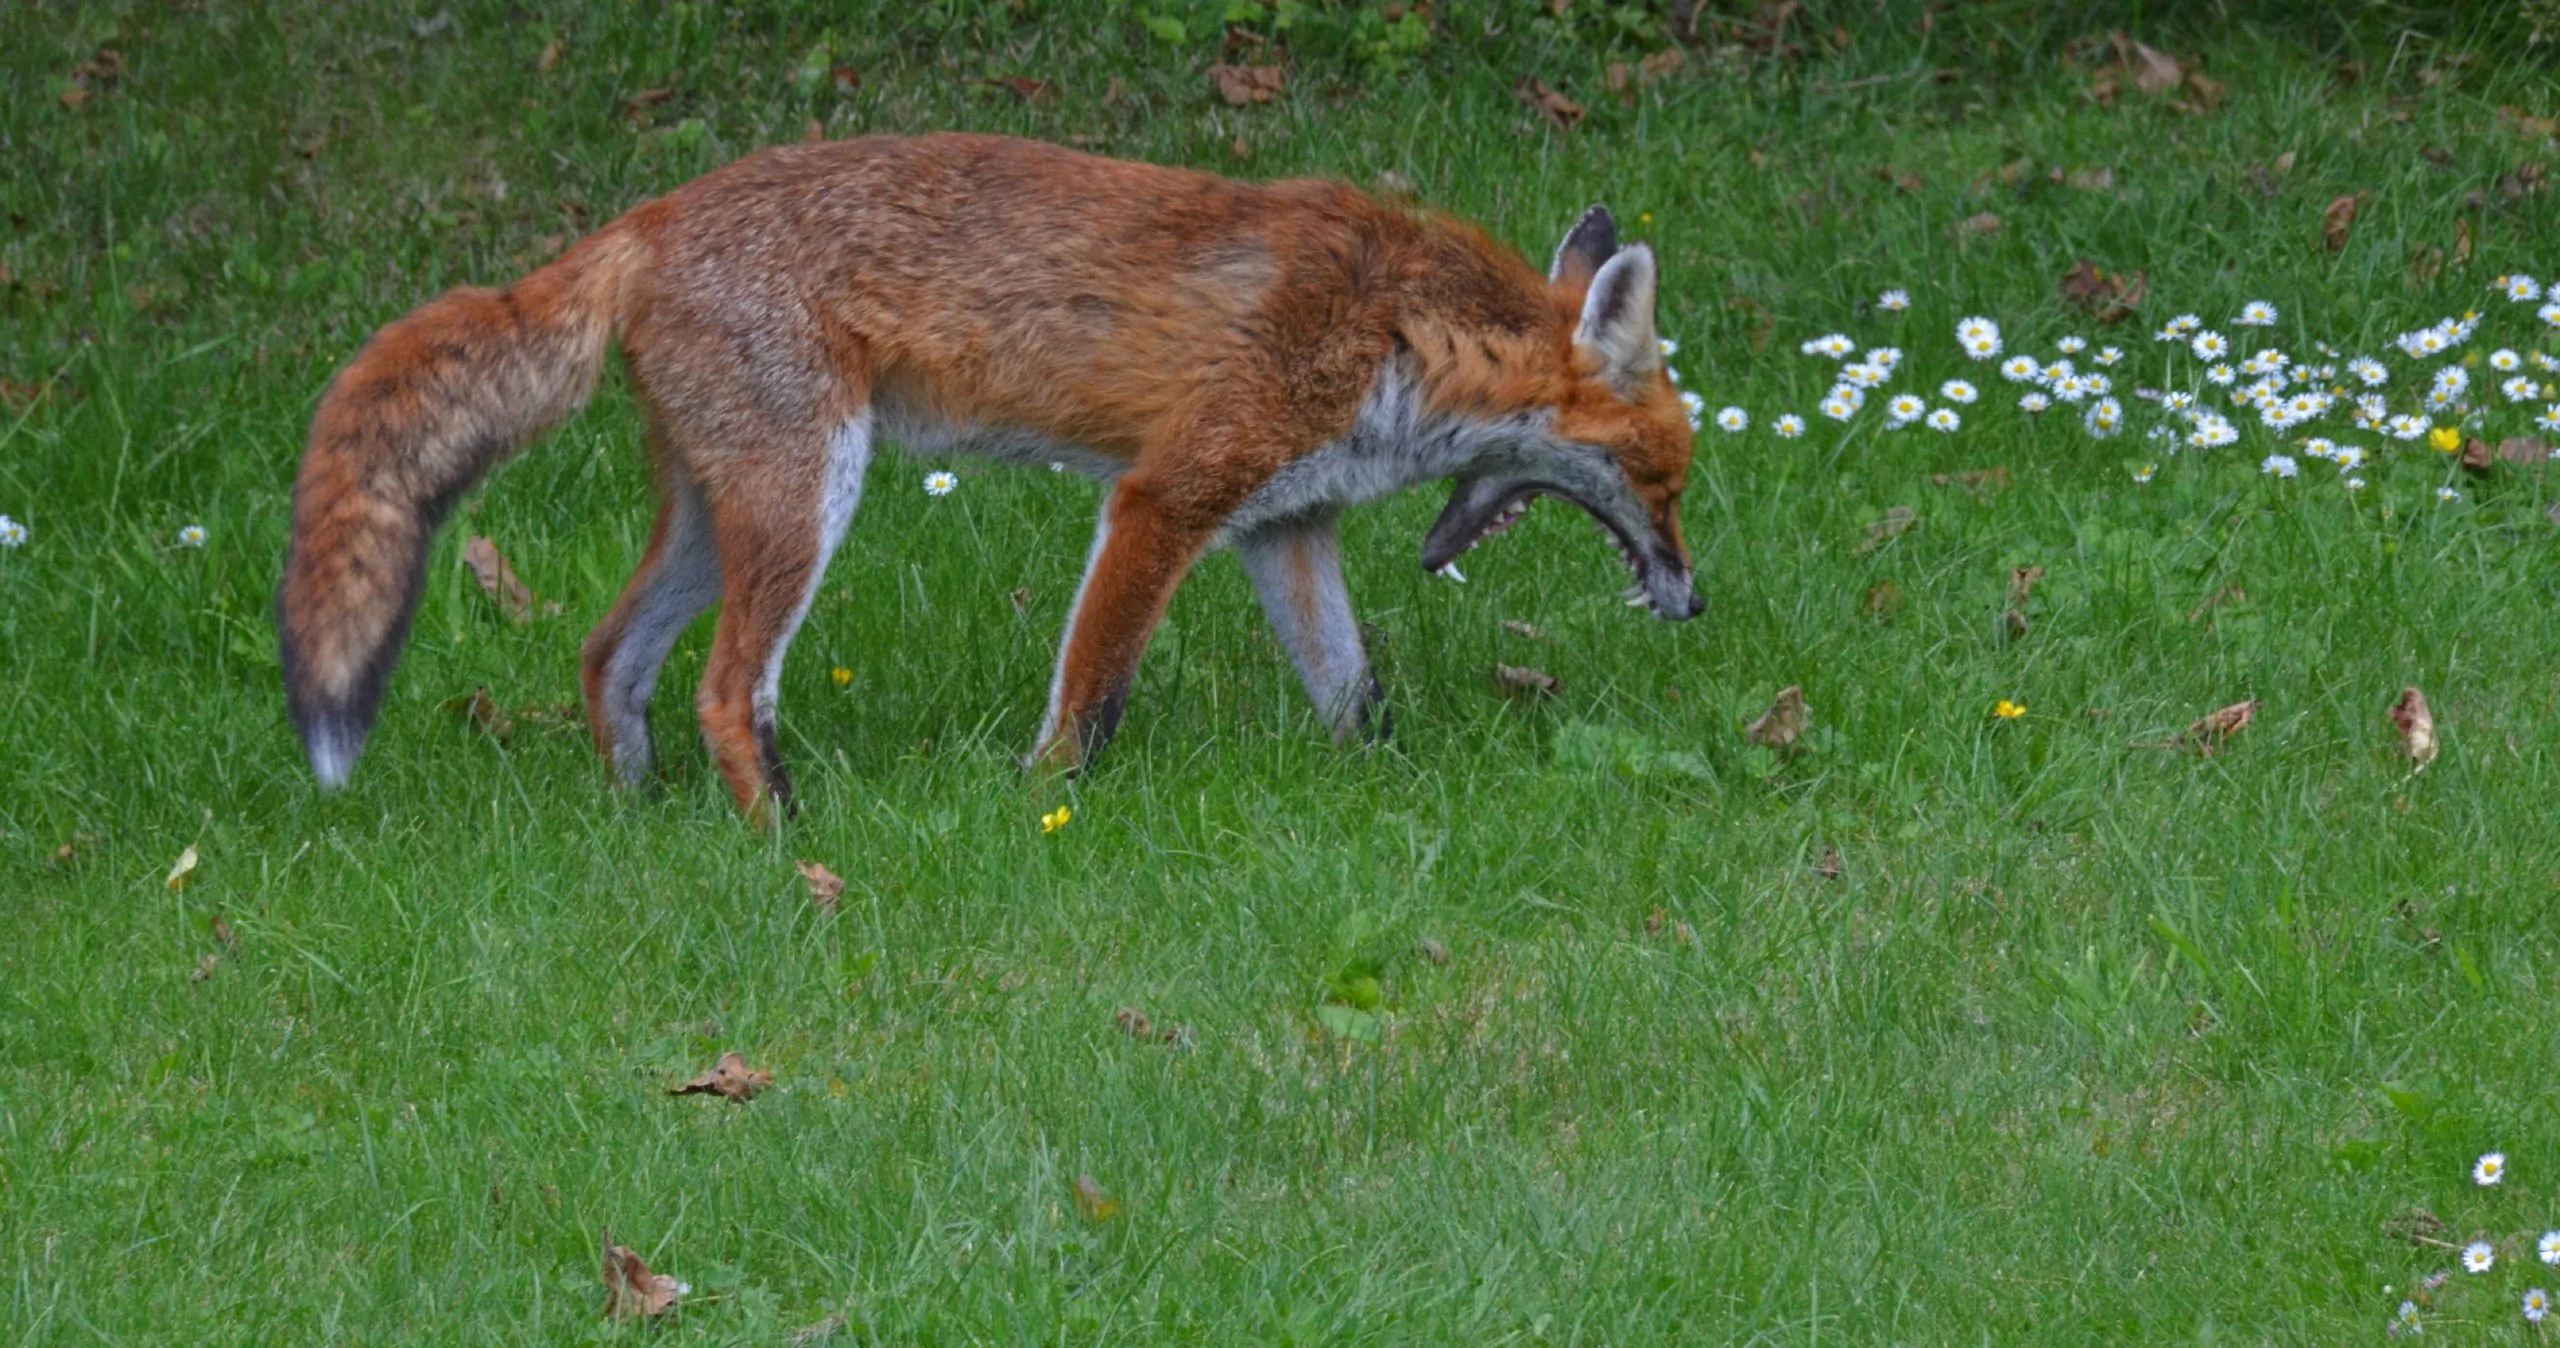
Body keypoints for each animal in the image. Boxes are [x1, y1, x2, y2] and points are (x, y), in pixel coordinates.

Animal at [277, 132, 1700, 823]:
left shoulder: (1284, 526)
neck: (1399, 335)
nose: (1693, 603)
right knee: (728, 690)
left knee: (608, 655)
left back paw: (641, 822)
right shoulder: (1168, 495)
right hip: (807, 498)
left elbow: (1356, 697)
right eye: (1668, 477)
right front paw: (1041, 806)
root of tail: (644, 220)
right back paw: (788, 845)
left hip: (719, 514)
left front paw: (1393, 794)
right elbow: (1092, 697)